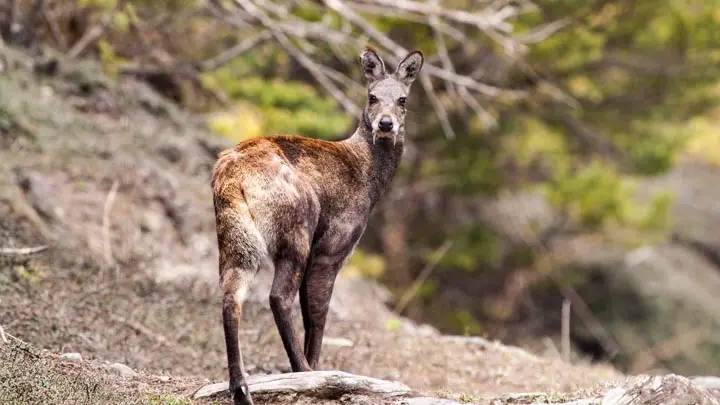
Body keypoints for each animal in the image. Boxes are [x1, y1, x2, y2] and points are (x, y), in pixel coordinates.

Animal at [210, 47, 424, 405]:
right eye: (372, 96)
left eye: (403, 99)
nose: (386, 123)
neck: (369, 181)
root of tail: (232, 177)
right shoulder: (332, 248)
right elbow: (319, 313)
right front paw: (321, 373)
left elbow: (310, 316)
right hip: (297, 226)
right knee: (278, 296)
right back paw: (303, 371)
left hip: (233, 235)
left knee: (231, 294)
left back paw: (241, 387)